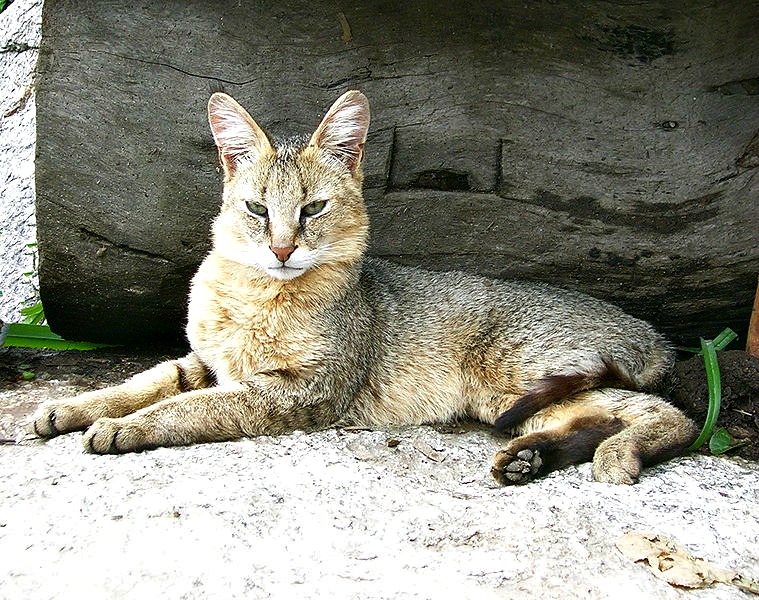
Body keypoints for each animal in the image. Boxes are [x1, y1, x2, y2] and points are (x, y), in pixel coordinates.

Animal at [29, 90, 696, 482]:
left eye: (314, 208)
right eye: (257, 208)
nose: (281, 249)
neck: (254, 298)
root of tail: (652, 333)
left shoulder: (297, 390)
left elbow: (192, 407)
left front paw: (126, 428)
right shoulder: (207, 362)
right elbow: (144, 382)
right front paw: (75, 407)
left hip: (521, 378)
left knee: (674, 417)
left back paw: (618, 455)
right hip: (521, 401)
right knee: (609, 417)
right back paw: (531, 459)